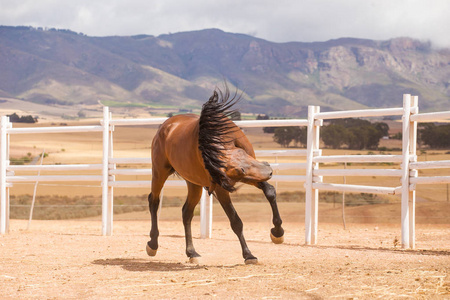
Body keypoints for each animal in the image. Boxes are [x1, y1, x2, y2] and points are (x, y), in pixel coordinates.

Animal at [148, 86, 284, 262]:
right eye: (240, 171)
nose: (269, 171)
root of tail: (167, 125)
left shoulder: (252, 177)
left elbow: (270, 192)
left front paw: (278, 233)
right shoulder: (222, 187)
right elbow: (235, 221)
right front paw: (248, 255)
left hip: (193, 182)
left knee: (186, 212)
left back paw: (192, 252)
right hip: (160, 172)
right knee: (154, 201)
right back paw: (152, 244)